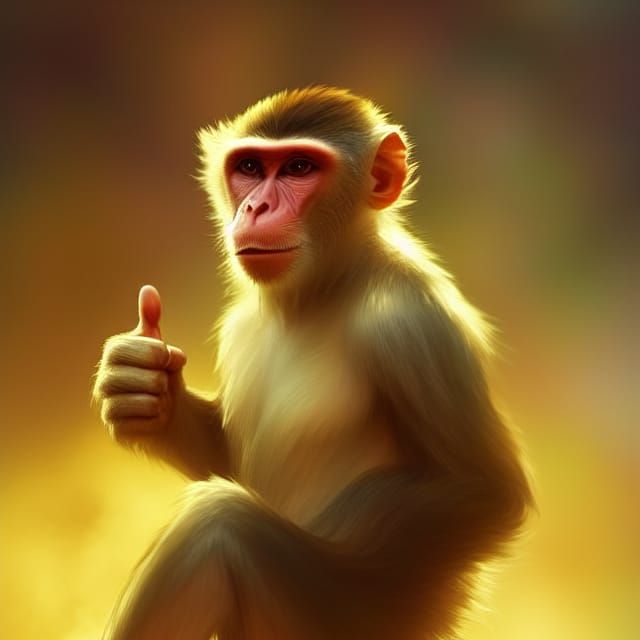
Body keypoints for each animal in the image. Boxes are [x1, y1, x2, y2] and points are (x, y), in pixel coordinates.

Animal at [92, 86, 533, 640]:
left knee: (217, 531)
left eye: (299, 167)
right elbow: (223, 456)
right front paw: (144, 390)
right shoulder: (240, 325)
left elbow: (487, 494)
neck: (327, 287)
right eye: (250, 168)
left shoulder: (409, 326)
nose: (255, 206)